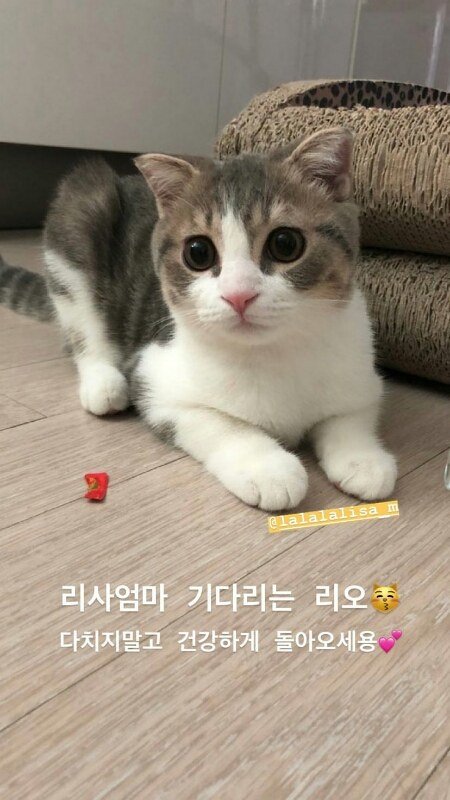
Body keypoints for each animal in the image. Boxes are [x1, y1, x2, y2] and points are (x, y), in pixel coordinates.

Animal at [0, 127, 397, 511]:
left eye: (285, 243)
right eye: (198, 252)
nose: (239, 294)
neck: (271, 353)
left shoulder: (360, 373)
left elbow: (351, 413)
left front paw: (363, 459)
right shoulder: (155, 378)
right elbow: (218, 422)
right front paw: (267, 467)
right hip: (81, 209)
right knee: (82, 329)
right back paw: (103, 383)